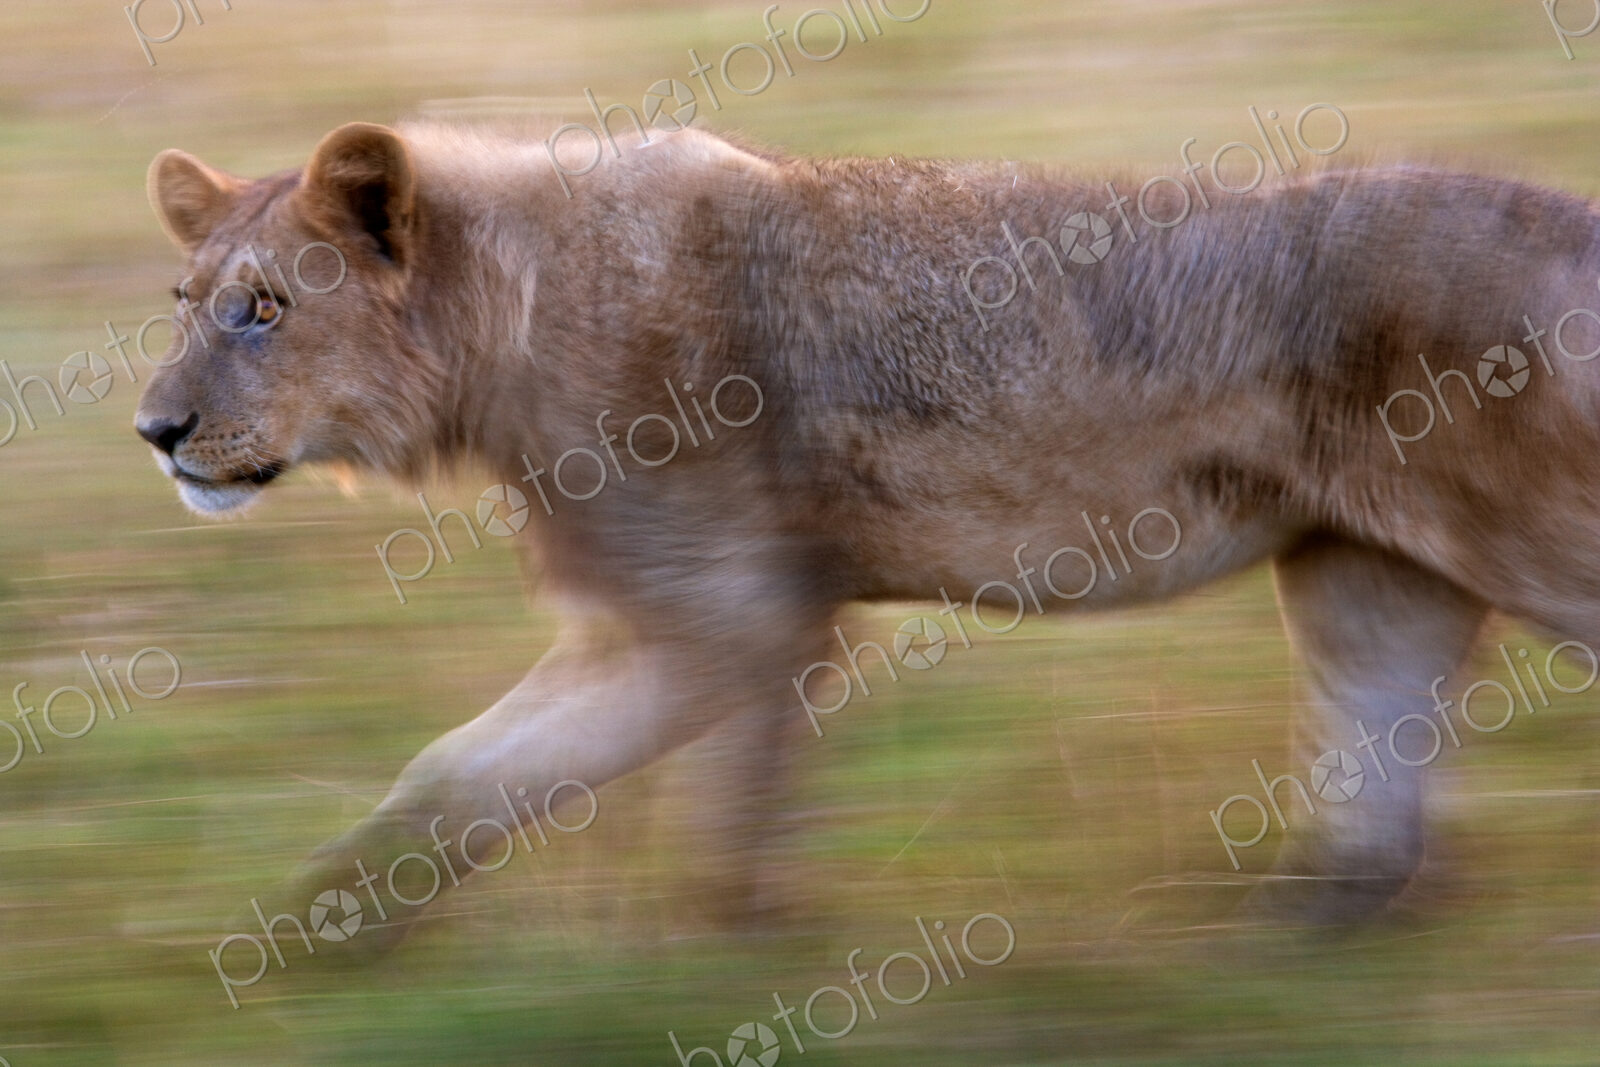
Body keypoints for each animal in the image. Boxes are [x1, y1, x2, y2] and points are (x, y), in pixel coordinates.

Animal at [137, 120, 1600, 954]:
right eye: (188, 299)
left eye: (265, 308)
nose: (154, 429)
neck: (500, 322)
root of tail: (1570, 218)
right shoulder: (737, 617)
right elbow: (501, 773)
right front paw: (324, 916)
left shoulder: (723, 618)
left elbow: (496, 771)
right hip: (1365, 575)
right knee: (1376, 768)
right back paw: (1294, 928)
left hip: (1531, 540)